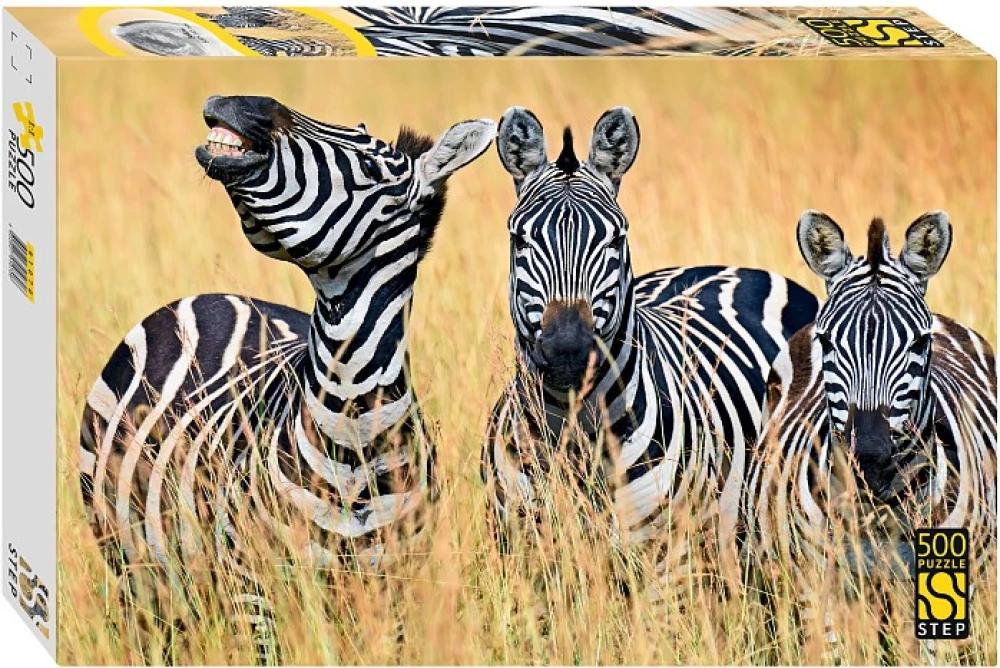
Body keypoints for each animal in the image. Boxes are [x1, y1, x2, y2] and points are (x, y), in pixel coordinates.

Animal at [78, 95, 495, 664]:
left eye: (371, 169)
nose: (239, 103)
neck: (353, 433)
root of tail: (213, 297)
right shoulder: (258, 593)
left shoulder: (394, 595)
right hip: (132, 568)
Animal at [480, 106, 820, 605]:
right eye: (519, 241)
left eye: (616, 239)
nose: (567, 352)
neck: (573, 430)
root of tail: (732, 268)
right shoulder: (523, 560)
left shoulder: (668, 565)